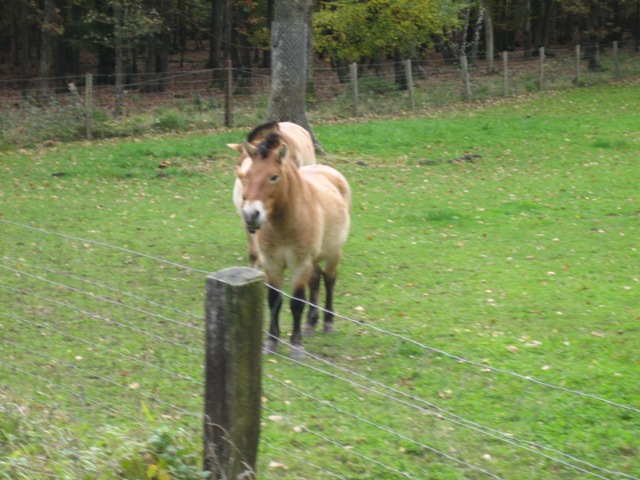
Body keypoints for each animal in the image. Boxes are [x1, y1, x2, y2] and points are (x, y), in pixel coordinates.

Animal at [238, 133, 352, 358]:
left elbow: (297, 302)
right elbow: (274, 299)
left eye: (274, 177)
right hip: (313, 260)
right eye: (247, 175)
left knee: (329, 281)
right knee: (315, 281)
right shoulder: (272, 264)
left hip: (333, 254)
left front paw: (296, 344)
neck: (285, 224)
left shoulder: (299, 265)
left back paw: (327, 322)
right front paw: (271, 342)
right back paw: (311, 322)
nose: (251, 215)